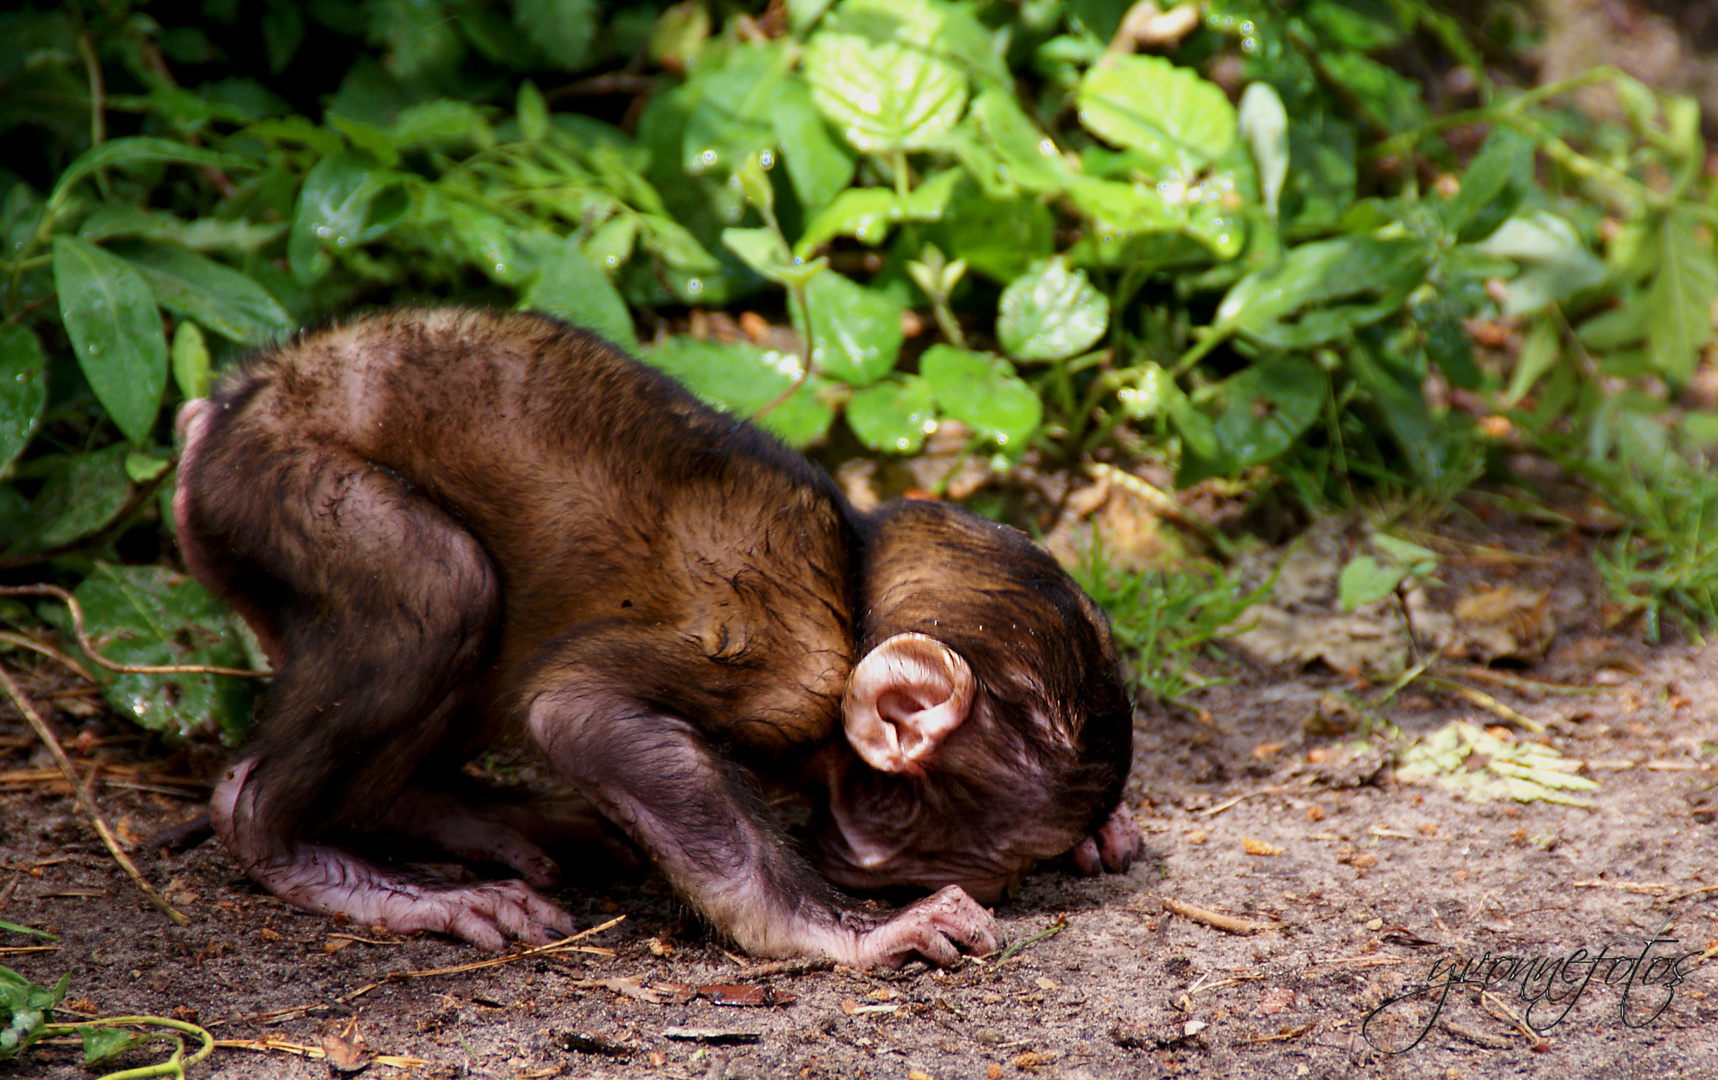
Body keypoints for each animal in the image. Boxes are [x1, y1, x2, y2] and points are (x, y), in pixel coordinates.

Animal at [177, 307, 1140, 961]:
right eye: (995, 854)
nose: (1007, 885)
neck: (852, 593)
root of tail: (228, 409)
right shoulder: (782, 668)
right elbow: (579, 709)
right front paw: (843, 931)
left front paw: (1108, 832)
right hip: (275, 480)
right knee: (442, 585)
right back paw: (297, 849)